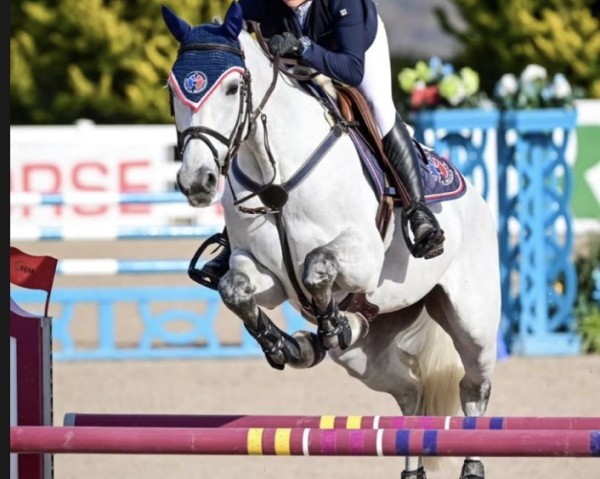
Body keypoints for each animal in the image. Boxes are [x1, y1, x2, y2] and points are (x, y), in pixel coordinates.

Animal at [163, 2, 502, 476]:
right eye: (173, 90)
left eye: (232, 88)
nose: (197, 182)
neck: (275, 176)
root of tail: (474, 196)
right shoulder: (265, 275)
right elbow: (235, 289)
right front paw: (285, 345)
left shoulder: (363, 257)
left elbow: (317, 266)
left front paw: (328, 325)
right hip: (366, 358)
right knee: (410, 392)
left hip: (474, 324)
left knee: (474, 388)